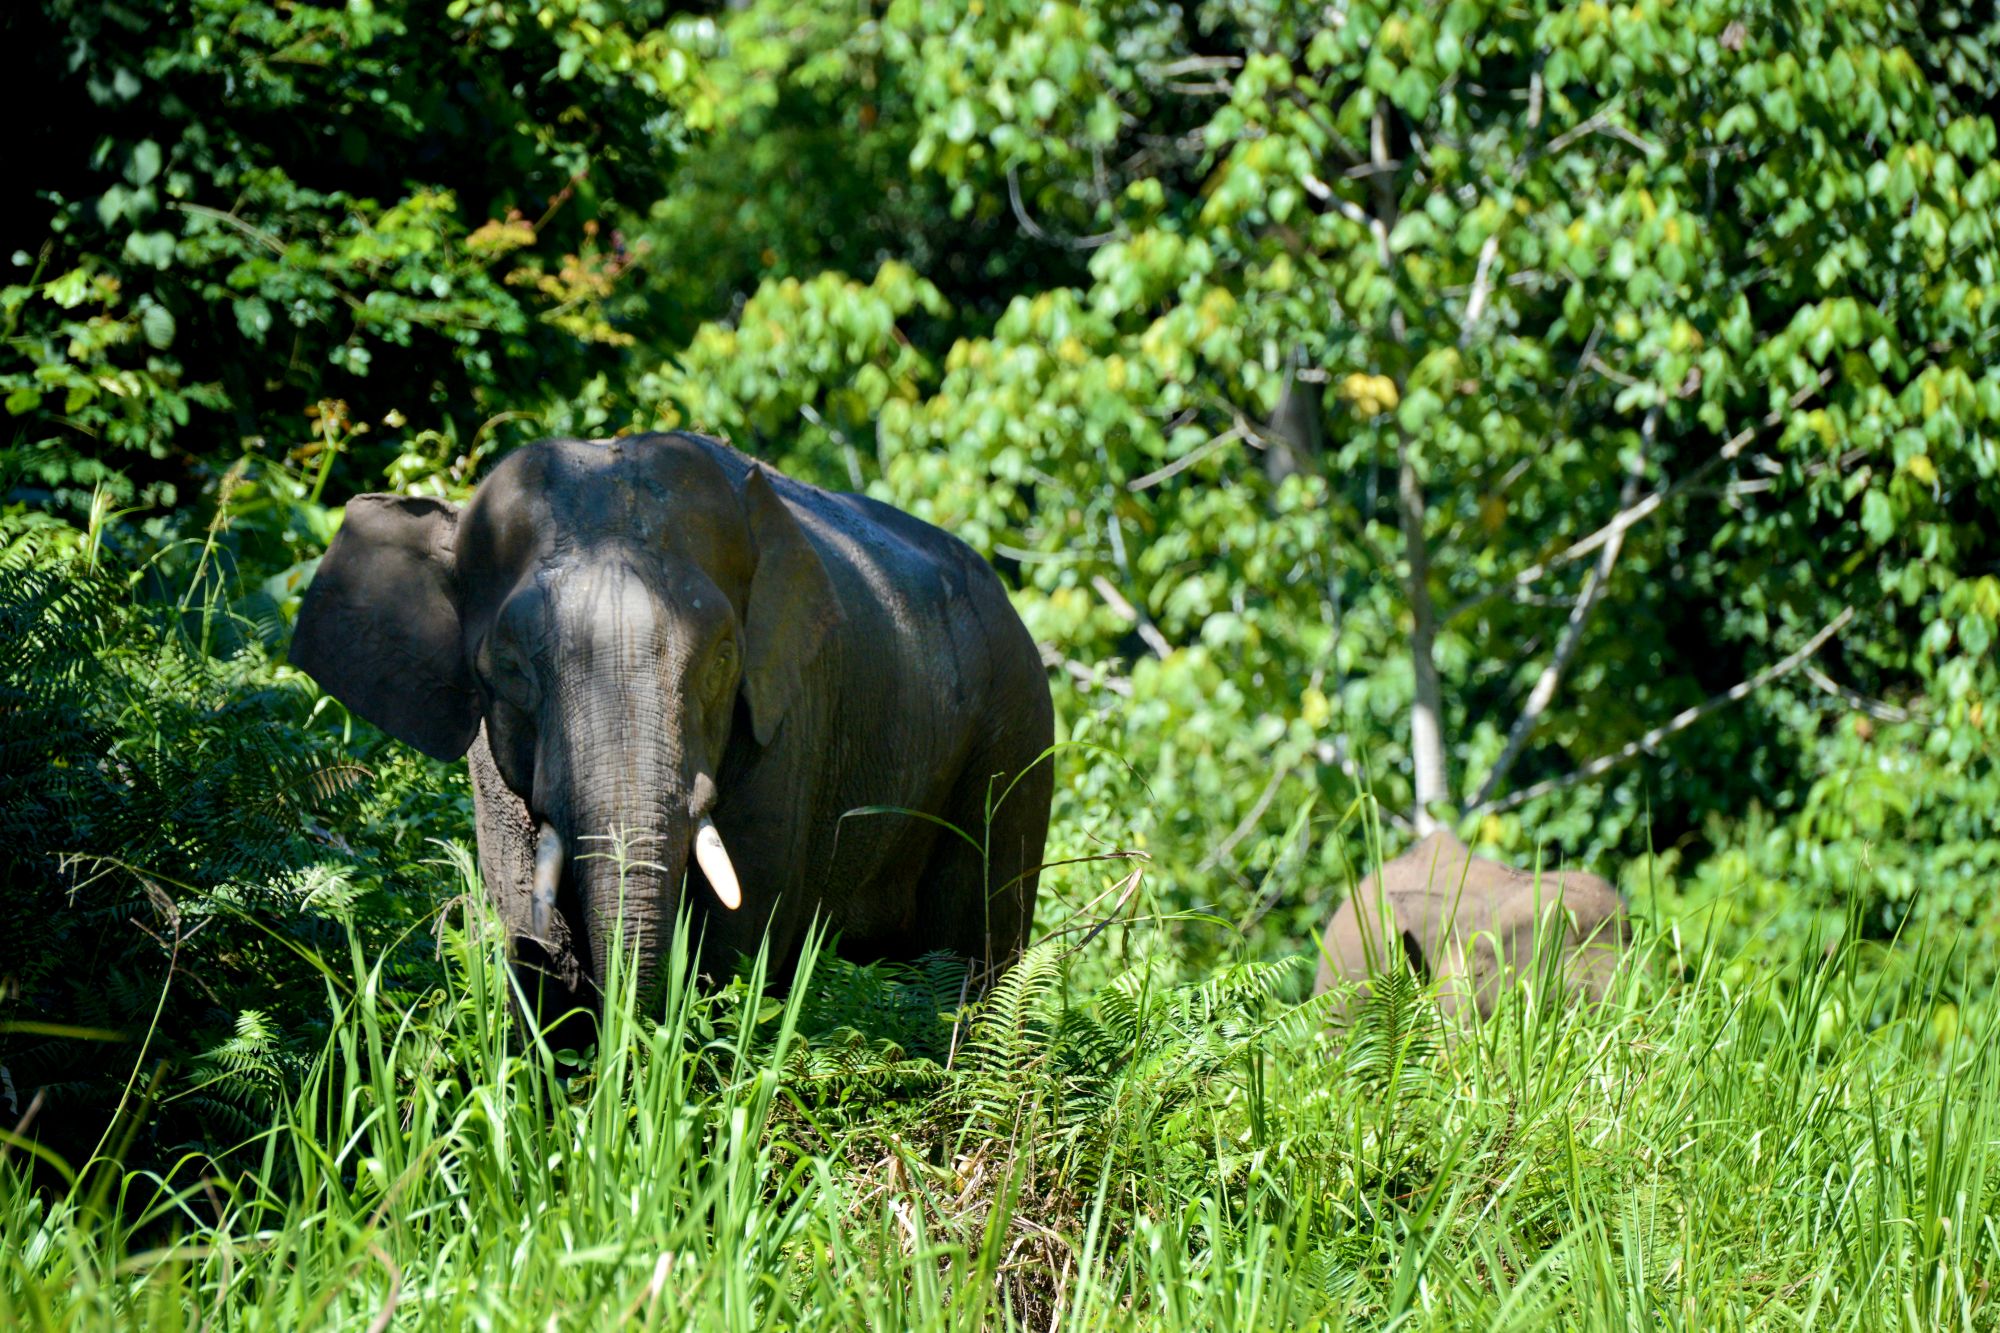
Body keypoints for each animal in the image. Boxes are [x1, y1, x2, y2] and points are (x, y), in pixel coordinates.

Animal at [289, 432, 1055, 1021]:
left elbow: (740, 936)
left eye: (721, 659)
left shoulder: (789, 722)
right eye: (508, 666)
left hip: (1014, 737)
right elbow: (524, 920)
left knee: (975, 948)